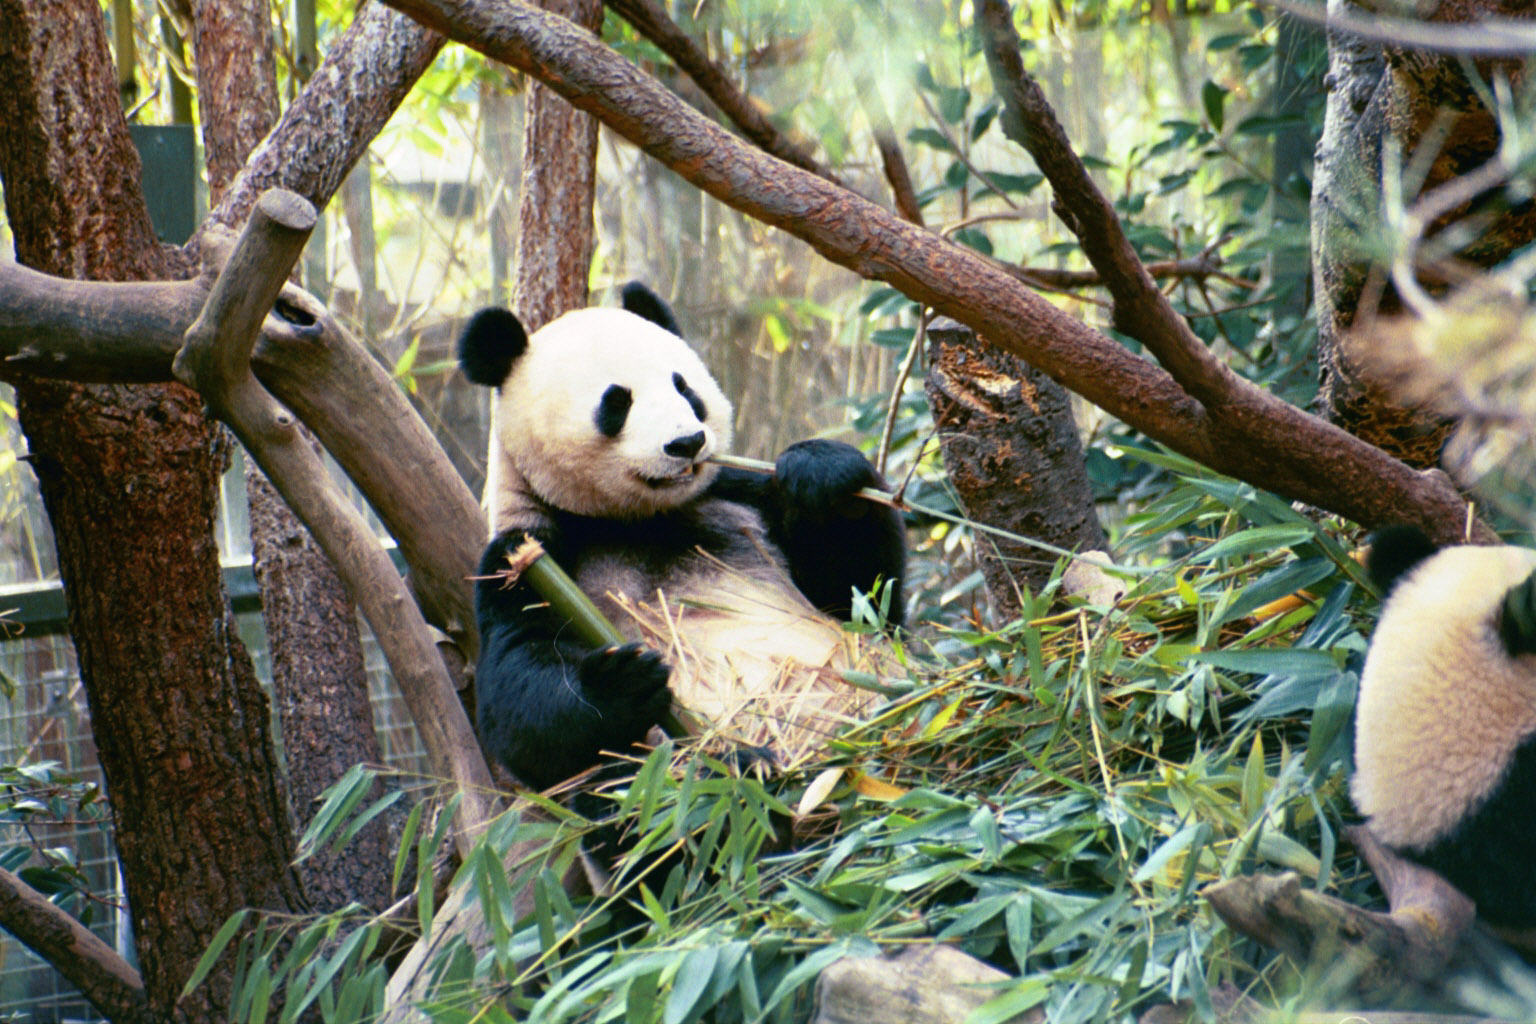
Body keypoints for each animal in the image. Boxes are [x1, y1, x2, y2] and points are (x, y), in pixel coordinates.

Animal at [457, 282, 906, 794]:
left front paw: (822, 474)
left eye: (684, 387)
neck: (633, 518)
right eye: (617, 402)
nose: (687, 444)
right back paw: (747, 766)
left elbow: (862, 598)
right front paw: (619, 683)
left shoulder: (737, 498)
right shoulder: (527, 558)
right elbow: (521, 707)